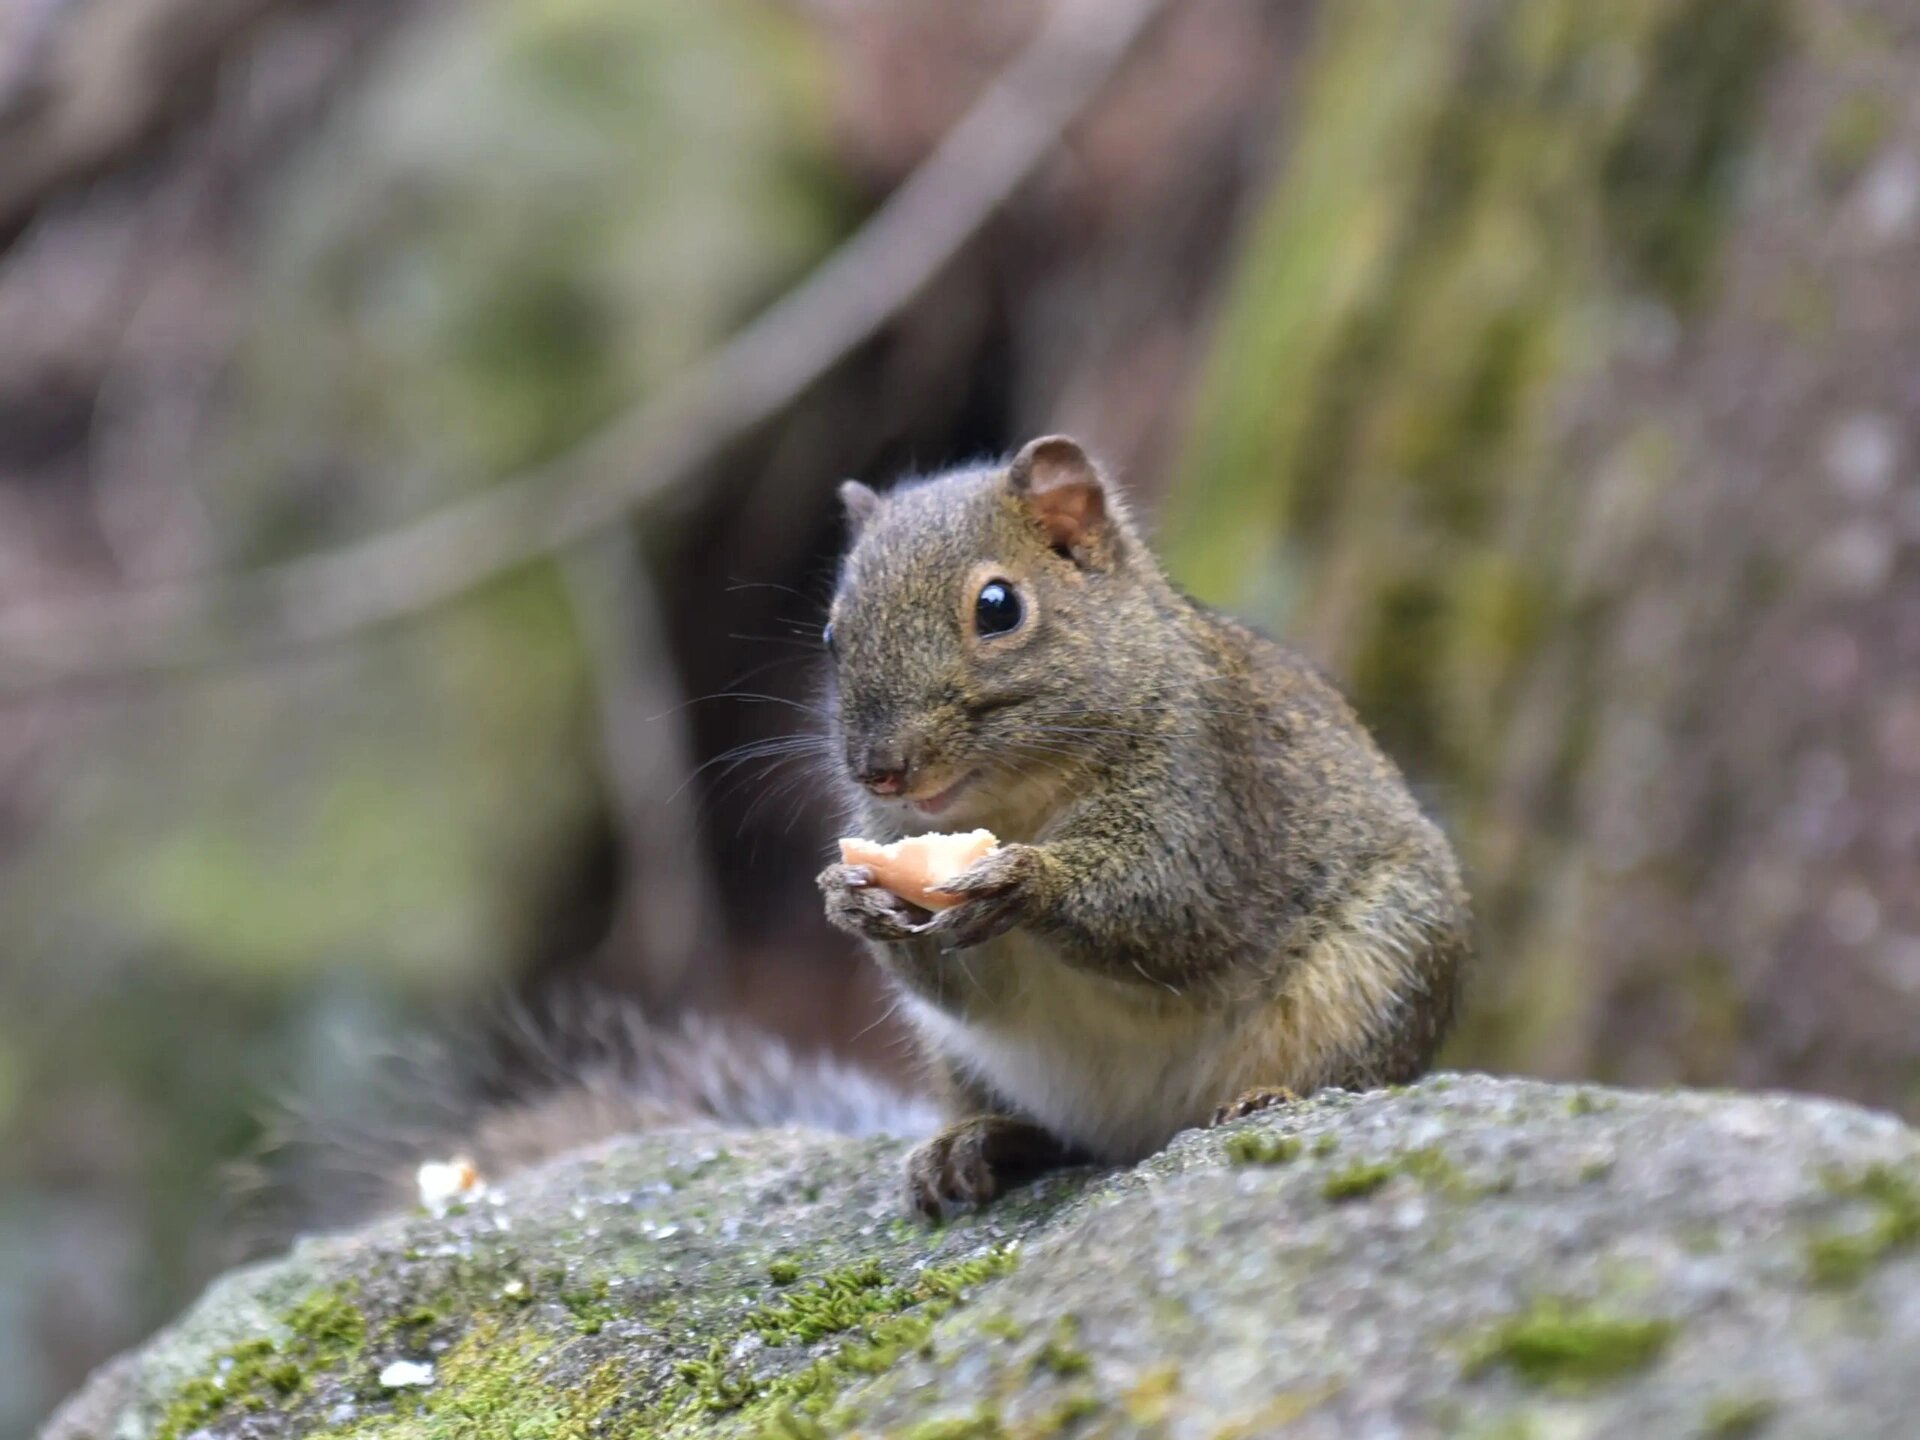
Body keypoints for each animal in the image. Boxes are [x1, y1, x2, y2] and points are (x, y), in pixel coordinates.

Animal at [814, 432, 1466, 1221]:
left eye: (999, 608)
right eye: (832, 635)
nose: (881, 770)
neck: (1014, 803)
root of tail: (1141, 1139)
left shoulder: (1208, 781)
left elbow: (1169, 898)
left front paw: (1028, 879)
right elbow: (963, 988)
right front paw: (848, 895)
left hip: (1385, 964)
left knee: (1351, 1074)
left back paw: (1266, 1099)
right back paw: (977, 1140)